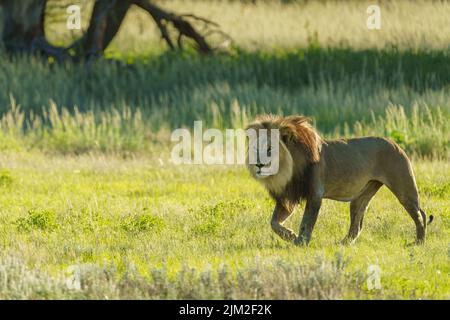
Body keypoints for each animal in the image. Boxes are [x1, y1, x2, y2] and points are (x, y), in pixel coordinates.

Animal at [246, 114, 432, 245]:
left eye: (270, 149)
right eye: (256, 148)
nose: (258, 164)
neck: (287, 169)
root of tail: (395, 143)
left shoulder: (315, 194)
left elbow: (307, 222)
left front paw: (301, 242)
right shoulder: (288, 196)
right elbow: (273, 222)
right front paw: (291, 236)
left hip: (404, 188)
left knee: (420, 214)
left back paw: (418, 242)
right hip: (361, 196)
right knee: (357, 225)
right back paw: (343, 244)